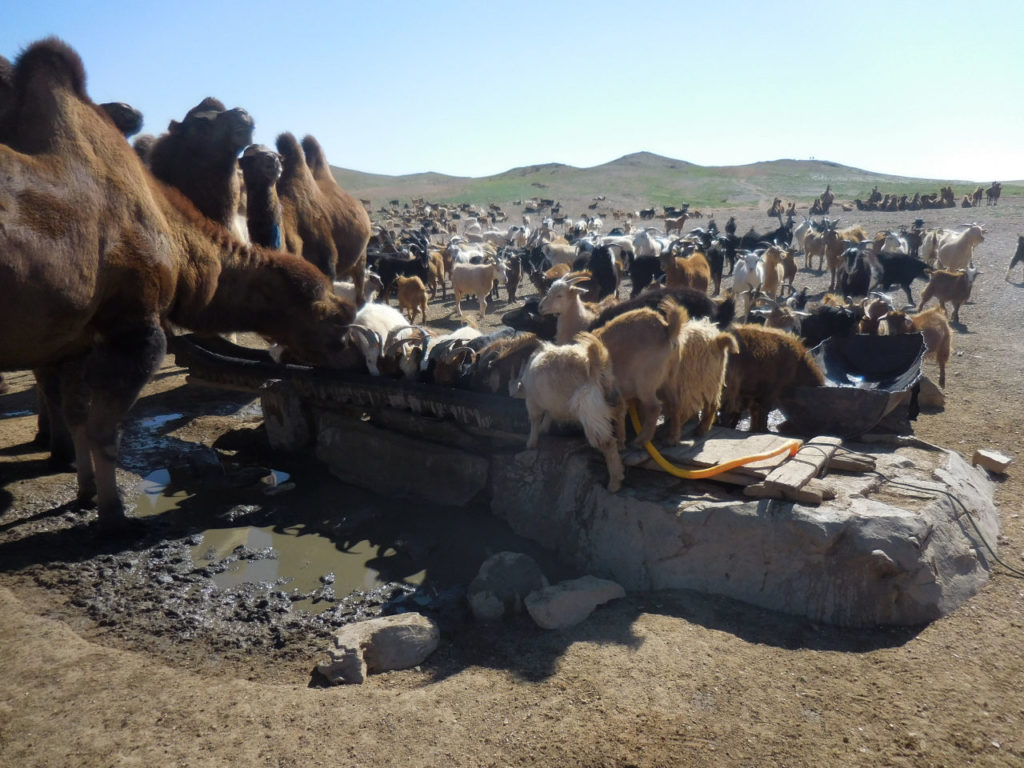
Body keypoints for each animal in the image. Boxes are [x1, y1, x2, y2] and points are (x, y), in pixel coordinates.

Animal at [0, 39, 358, 532]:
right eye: (330, 314)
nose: (352, 351)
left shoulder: (74, 340)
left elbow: (77, 417)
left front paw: (85, 493)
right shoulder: (135, 327)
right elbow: (104, 431)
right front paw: (114, 518)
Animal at [512, 331, 622, 493]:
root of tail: (594, 364)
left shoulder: (532, 402)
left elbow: (535, 420)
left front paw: (531, 443)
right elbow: (549, 414)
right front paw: (544, 429)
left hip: (590, 410)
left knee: (607, 442)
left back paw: (614, 483)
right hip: (612, 396)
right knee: (620, 414)